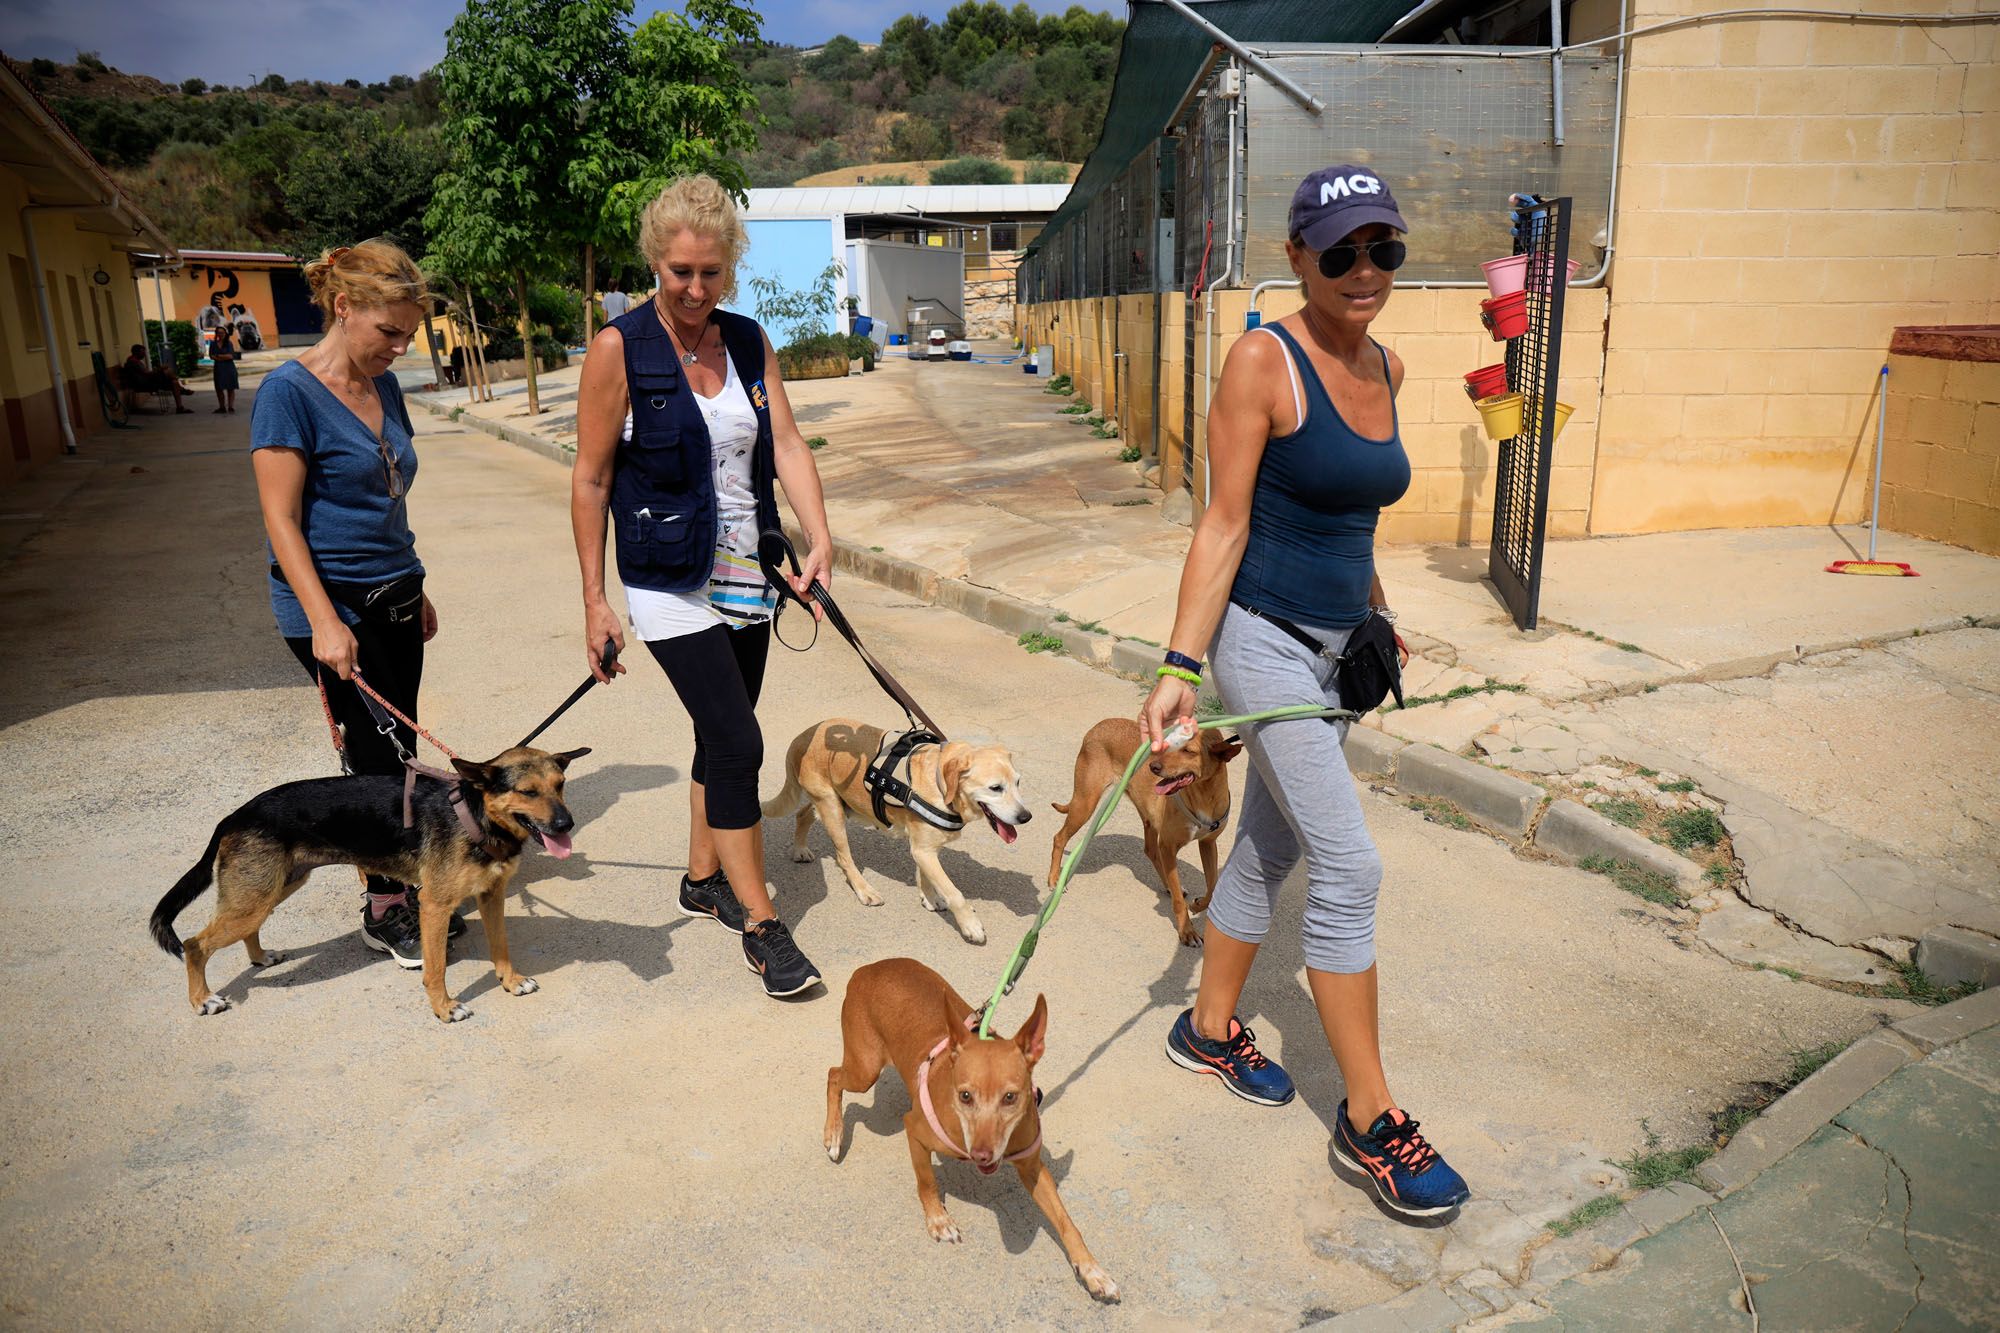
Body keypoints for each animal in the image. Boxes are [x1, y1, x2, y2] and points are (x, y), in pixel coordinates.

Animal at [148, 740, 584, 1020]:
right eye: (527, 792)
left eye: (560, 786)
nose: (567, 825)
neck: (476, 817)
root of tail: (234, 815)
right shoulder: (435, 905)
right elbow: (436, 968)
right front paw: (444, 1008)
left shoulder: (492, 895)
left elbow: (502, 947)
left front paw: (511, 981)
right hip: (254, 897)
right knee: (194, 945)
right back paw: (204, 1000)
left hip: (269, 890)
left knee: (246, 929)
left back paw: (260, 956)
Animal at [760, 716, 1032, 944]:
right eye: (995, 788)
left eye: (1018, 782)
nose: (1026, 816)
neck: (939, 782)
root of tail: (803, 737)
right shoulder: (923, 849)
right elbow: (954, 892)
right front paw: (971, 925)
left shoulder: (925, 847)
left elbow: (926, 875)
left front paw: (929, 897)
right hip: (832, 808)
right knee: (843, 857)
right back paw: (864, 890)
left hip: (839, 802)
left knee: (803, 814)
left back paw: (800, 849)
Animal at [820, 956, 1120, 1296]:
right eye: (965, 1095)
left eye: (1010, 1097)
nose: (981, 1155)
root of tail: (869, 968)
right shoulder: (914, 1130)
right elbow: (927, 1181)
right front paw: (938, 1219)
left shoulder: (1033, 1168)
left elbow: (1067, 1222)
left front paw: (1091, 1269)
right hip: (865, 1068)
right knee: (833, 1075)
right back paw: (834, 1133)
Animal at [1048, 716, 1232, 944]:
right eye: (1168, 745)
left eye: (1189, 751)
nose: (1153, 766)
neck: (1204, 796)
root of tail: (1098, 725)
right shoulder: (1169, 845)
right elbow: (1180, 902)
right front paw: (1187, 931)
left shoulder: (1207, 843)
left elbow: (1213, 885)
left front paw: (1198, 905)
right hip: (1085, 804)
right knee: (1059, 837)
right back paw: (1054, 879)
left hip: (1146, 817)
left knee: (1151, 851)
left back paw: (1171, 886)